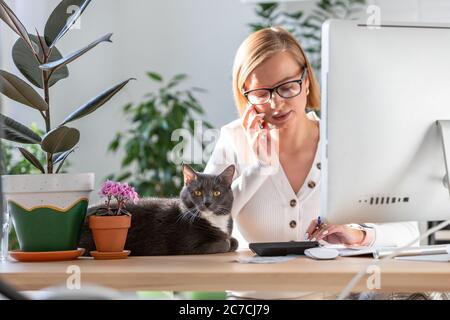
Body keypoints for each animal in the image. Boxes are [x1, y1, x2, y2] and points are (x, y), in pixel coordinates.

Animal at [79, 164, 239, 256]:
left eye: (217, 193)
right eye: (197, 193)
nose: (207, 203)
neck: (214, 220)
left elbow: (235, 241)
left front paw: (231, 240)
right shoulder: (188, 245)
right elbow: (225, 243)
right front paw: (227, 242)